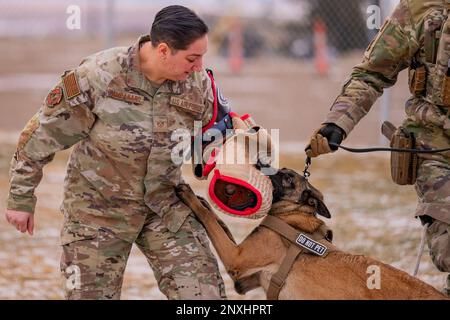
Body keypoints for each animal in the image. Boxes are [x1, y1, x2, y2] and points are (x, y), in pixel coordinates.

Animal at [176, 169, 446, 298]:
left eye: (287, 177)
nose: (263, 164)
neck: (291, 217)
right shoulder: (244, 278)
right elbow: (219, 221)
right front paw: (203, 200)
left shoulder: (236, 259)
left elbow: (209, 218)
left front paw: (189, 195)